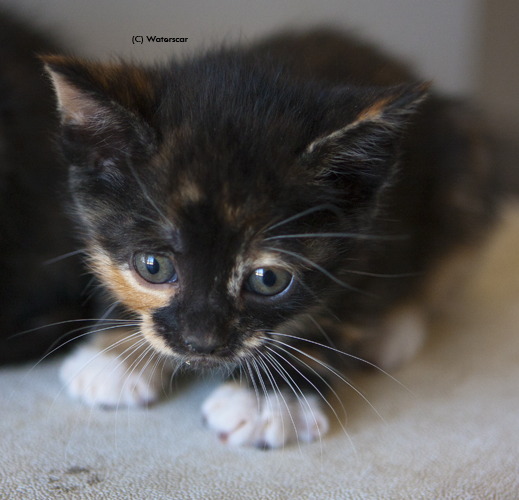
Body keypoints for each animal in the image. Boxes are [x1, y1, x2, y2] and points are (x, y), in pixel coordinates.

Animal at [41, 29, 500, 448]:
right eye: (152, 267)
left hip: (467, 158)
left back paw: (392, 331)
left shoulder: (372, 234)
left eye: (268, 280)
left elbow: (331, 313)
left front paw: (270, 400)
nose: (201, 344)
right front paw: (115, 353)